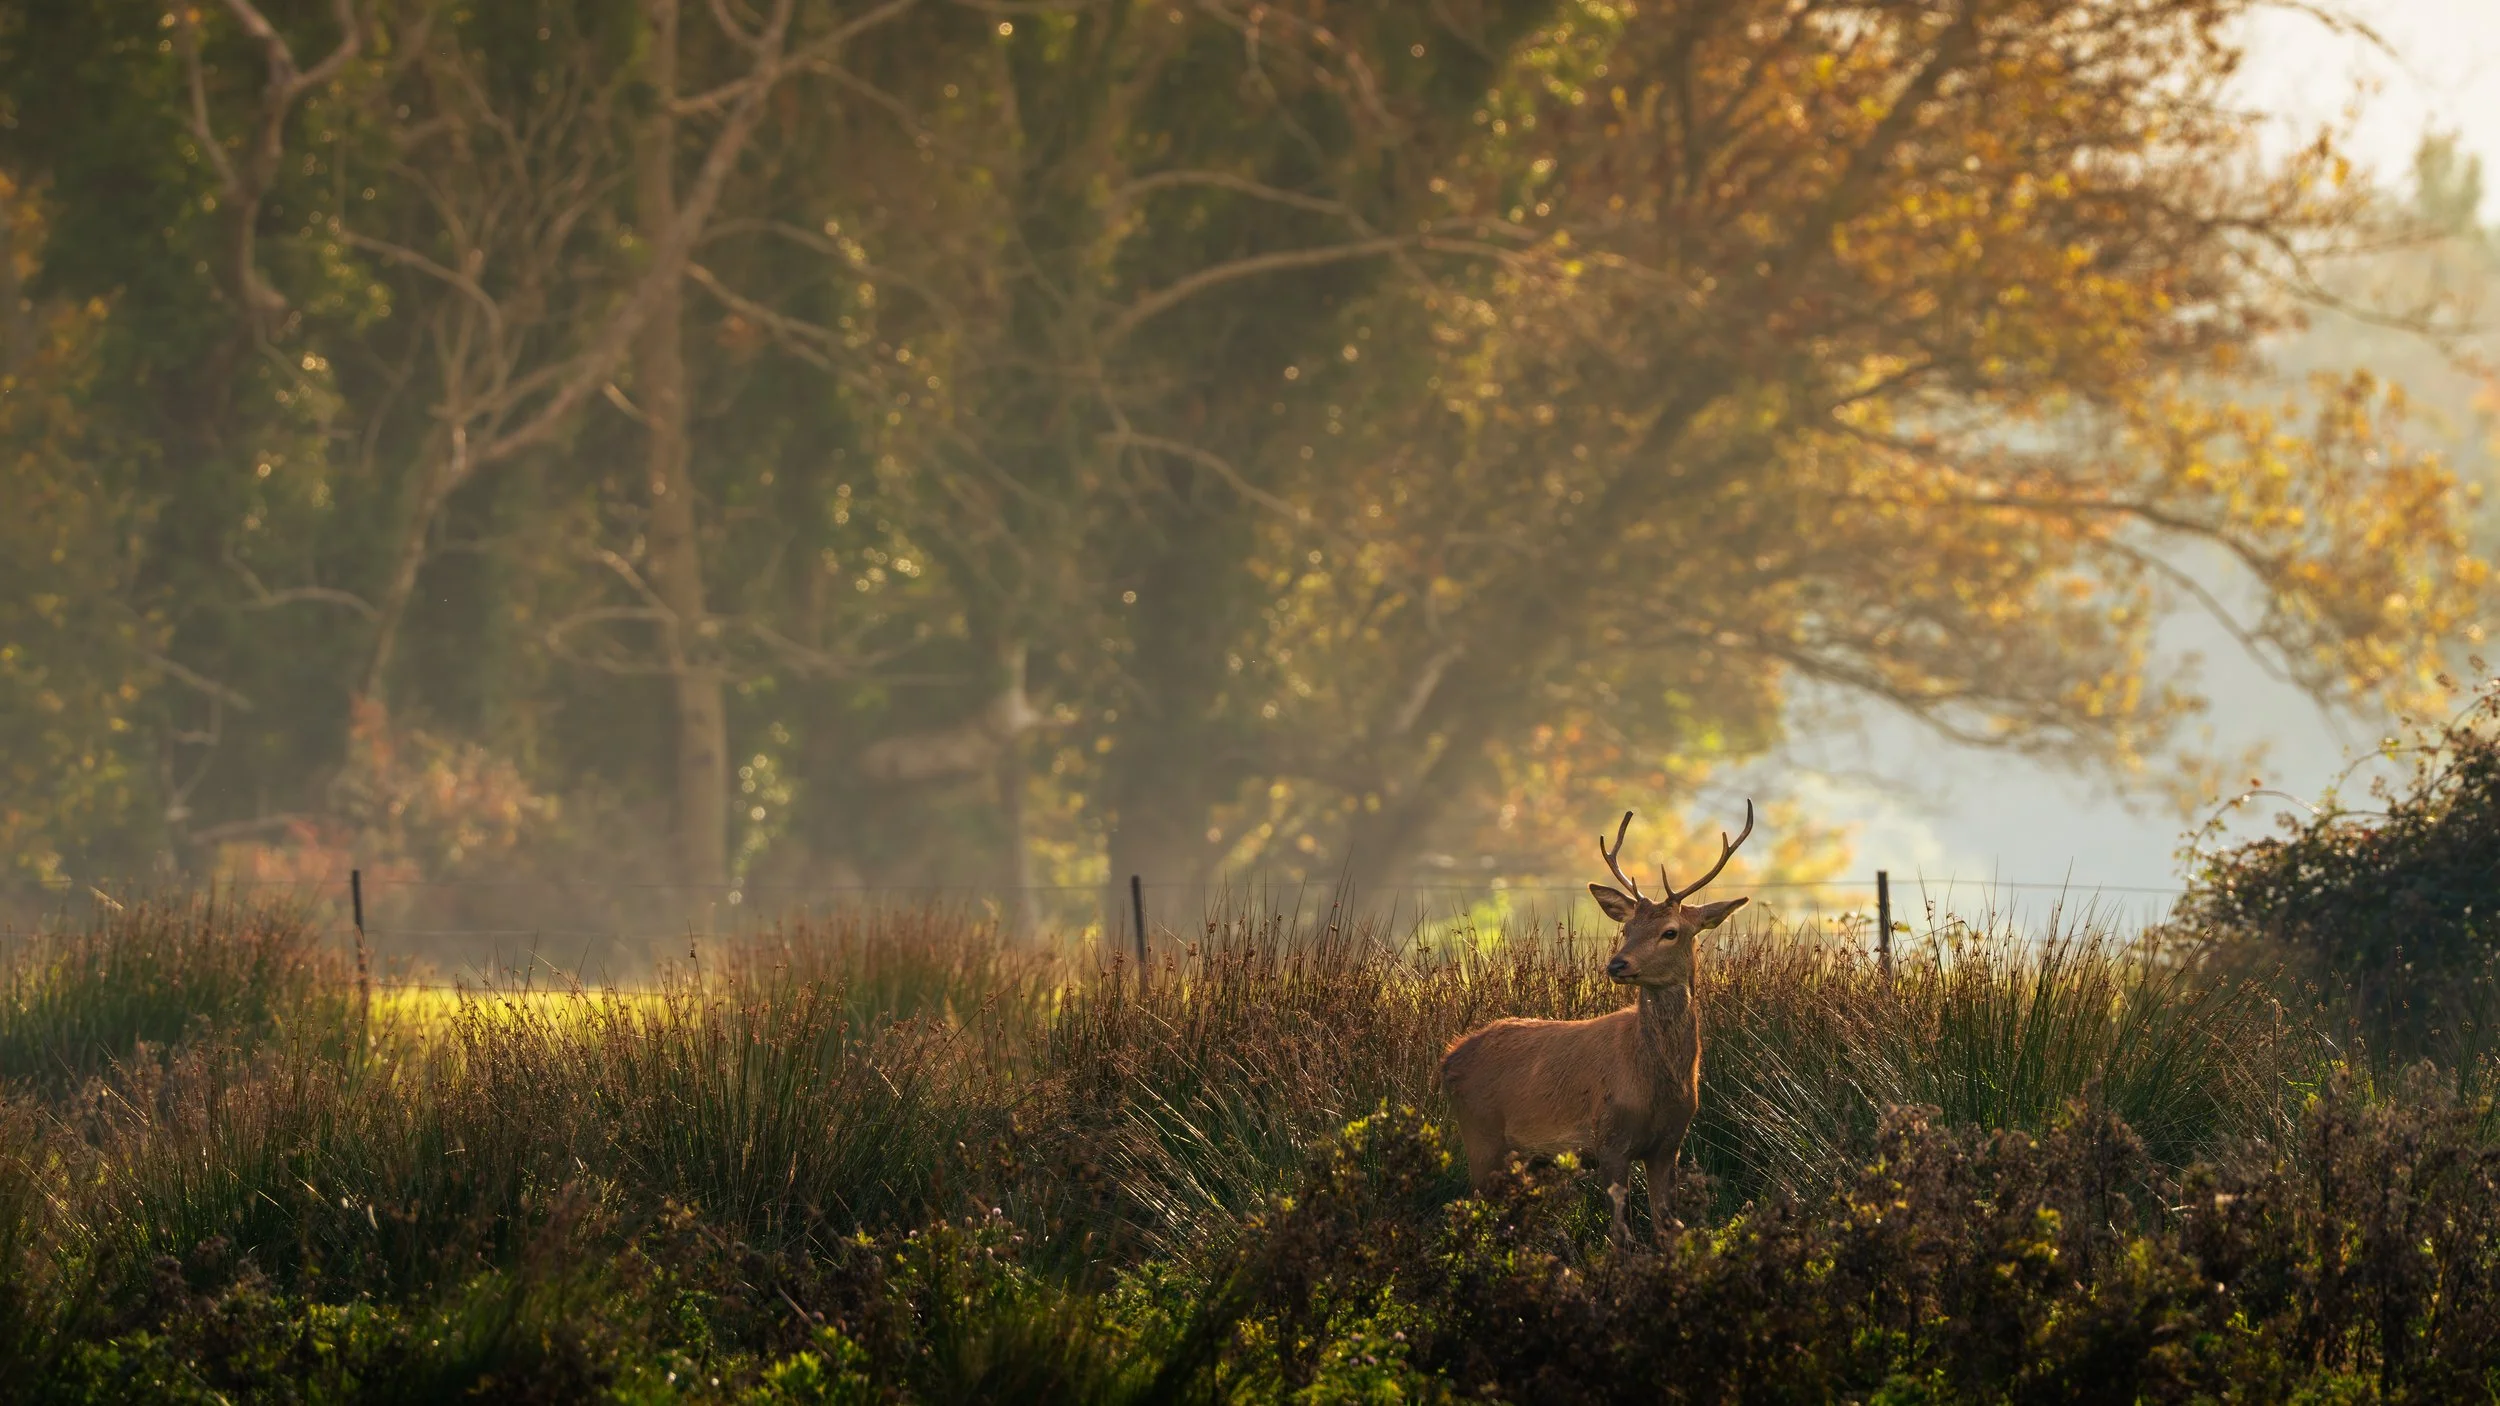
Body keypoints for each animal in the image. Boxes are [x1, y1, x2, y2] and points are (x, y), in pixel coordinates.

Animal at [1440, 802, 1755, 1245]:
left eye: (1670, 932)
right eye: (1627, 928)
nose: (1617, 965)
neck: (1657, 1083)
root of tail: (1448, 1057)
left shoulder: (1669, 1144)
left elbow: (1666, 1228)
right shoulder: (1608, 1139)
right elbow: (1621, 1238)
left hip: (1523, 1158)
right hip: (1480, 1134)